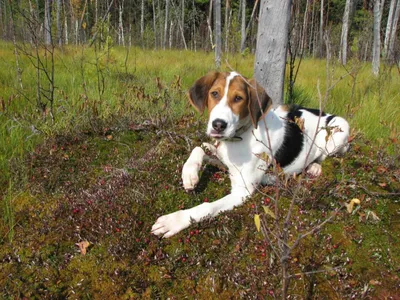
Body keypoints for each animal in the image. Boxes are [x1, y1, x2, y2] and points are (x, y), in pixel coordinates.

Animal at [152, 71, 348, 238]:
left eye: (239, 98)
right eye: (214, 94)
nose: (218, 125)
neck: (239, 137)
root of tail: (324, 113)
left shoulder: (242, 191)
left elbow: (207, 207)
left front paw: (174, 221)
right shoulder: (224, 161)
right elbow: (198, 149)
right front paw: (189, 175)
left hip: (338, 132)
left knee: (326, 155)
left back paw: (314, 167)